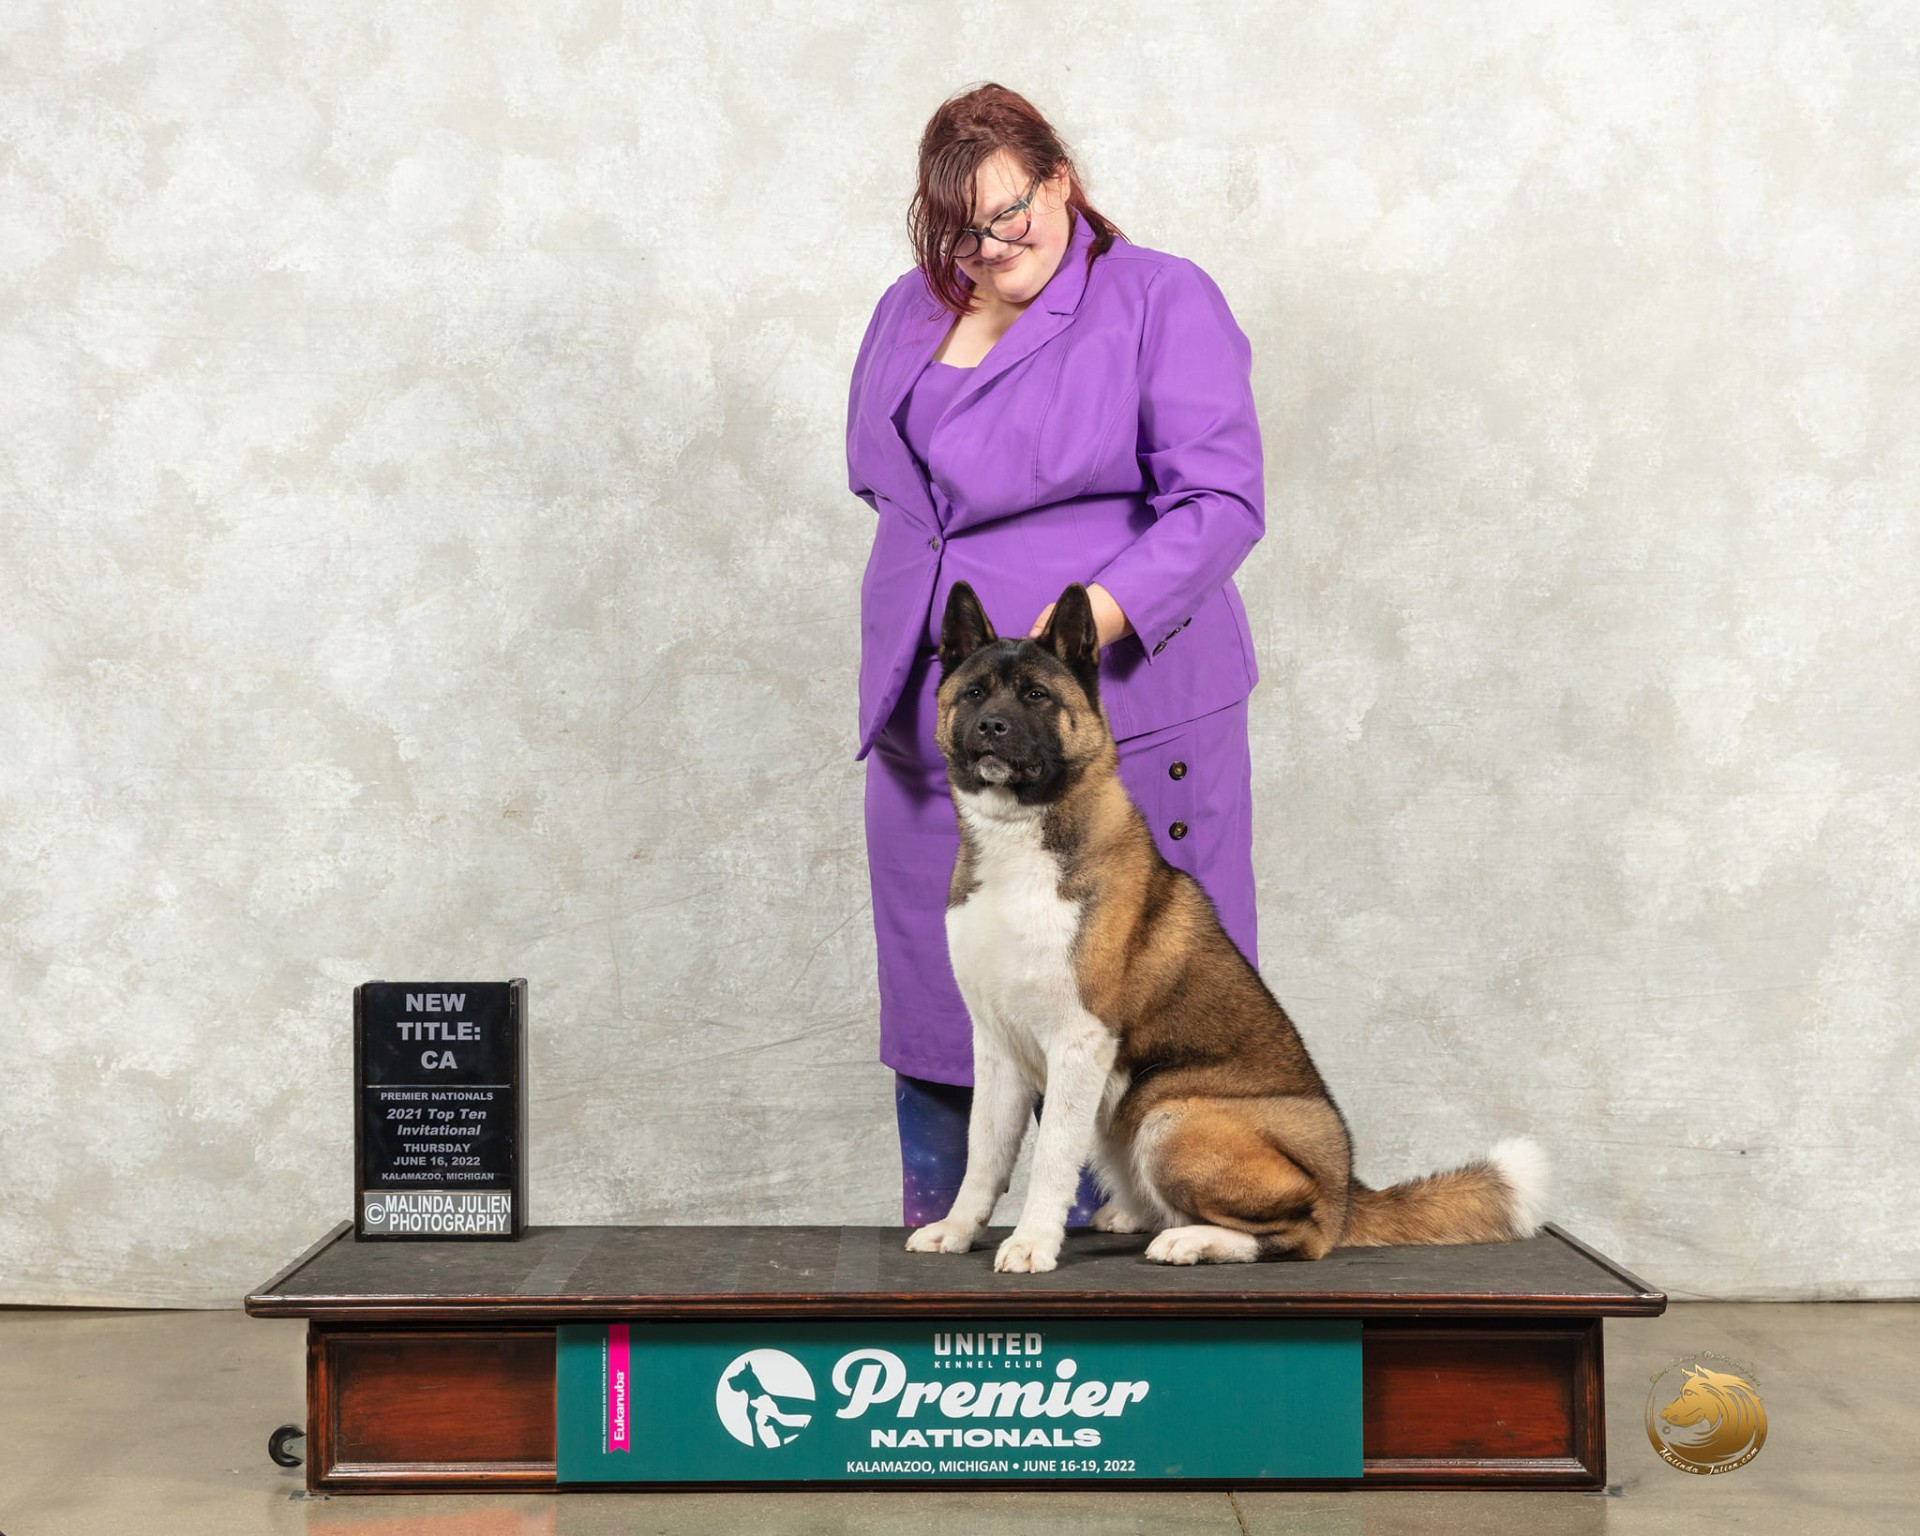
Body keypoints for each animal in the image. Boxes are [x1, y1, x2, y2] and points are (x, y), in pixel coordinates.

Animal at [904, 581, 1548, 1274]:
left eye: (1035, 696)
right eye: (974, 694)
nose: (991, 727)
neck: (1020, 839)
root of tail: (1348, 1191)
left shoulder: (1080, 1041)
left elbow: (1051, 1158)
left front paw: (1031, 1243)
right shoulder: (997, 1047)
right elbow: (983, 1155)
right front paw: (957, 1229)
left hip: (1170, 1113)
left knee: (1301, 1233)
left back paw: (1192, 1239)